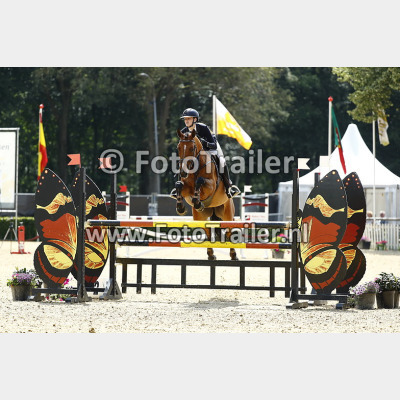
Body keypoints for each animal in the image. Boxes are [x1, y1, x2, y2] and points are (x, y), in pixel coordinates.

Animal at [174, 128, 238, 261]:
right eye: (178, 147)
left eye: (192, 148)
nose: (183, 172)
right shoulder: (186, 188)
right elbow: (179, 185)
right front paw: (181, 207)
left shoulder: (211, 186)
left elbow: (200, 181)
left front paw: (197, 202)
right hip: (200, 217)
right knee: (207, 232)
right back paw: (210, 254)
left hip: (227, 213)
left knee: (229, 231)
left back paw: (233, 255)